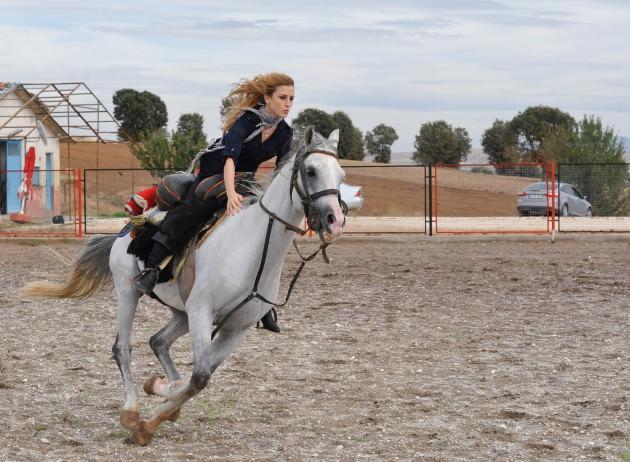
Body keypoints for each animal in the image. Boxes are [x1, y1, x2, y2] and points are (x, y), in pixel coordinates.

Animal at [21, 126, 346, 444]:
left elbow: (200, 376)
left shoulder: (234, 327)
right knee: (122, 348)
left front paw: (158, 405)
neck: (251, 247)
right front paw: (154, 408)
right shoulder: (202, 312)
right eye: (311, 171)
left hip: (181, 312)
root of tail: (127, 228)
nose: (335, 219)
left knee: (158, 341)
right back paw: (131, 411)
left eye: (341, 175)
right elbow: (199, 376)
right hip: (129, 291)